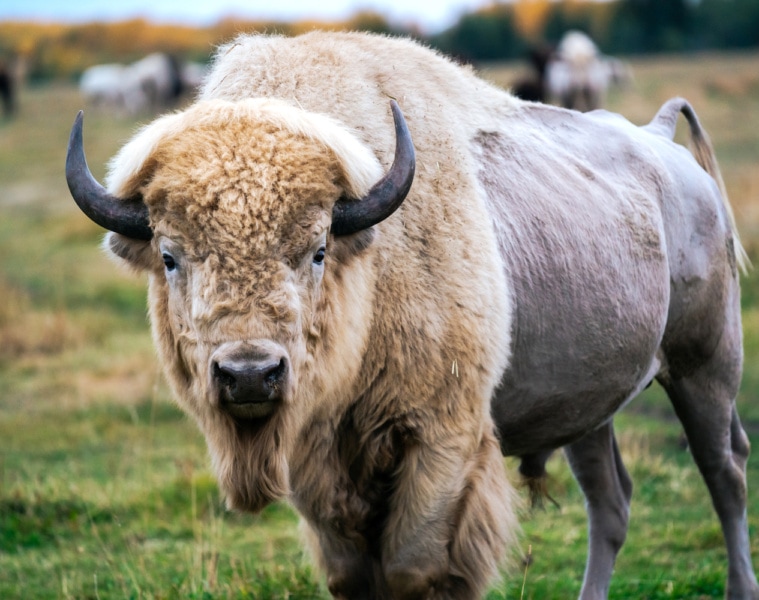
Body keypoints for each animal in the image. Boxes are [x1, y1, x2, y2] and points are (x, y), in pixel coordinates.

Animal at [66, 32, 756, 599]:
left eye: (317, 249)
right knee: (611, 504)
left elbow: (414, 570)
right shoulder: (318, 468)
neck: (369, 265)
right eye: (169, 256)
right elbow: (352, 576)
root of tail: (661, 141)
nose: (250, 375)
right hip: (592, 406)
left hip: (706, 367)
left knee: (724, 474)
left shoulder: (441, 442)